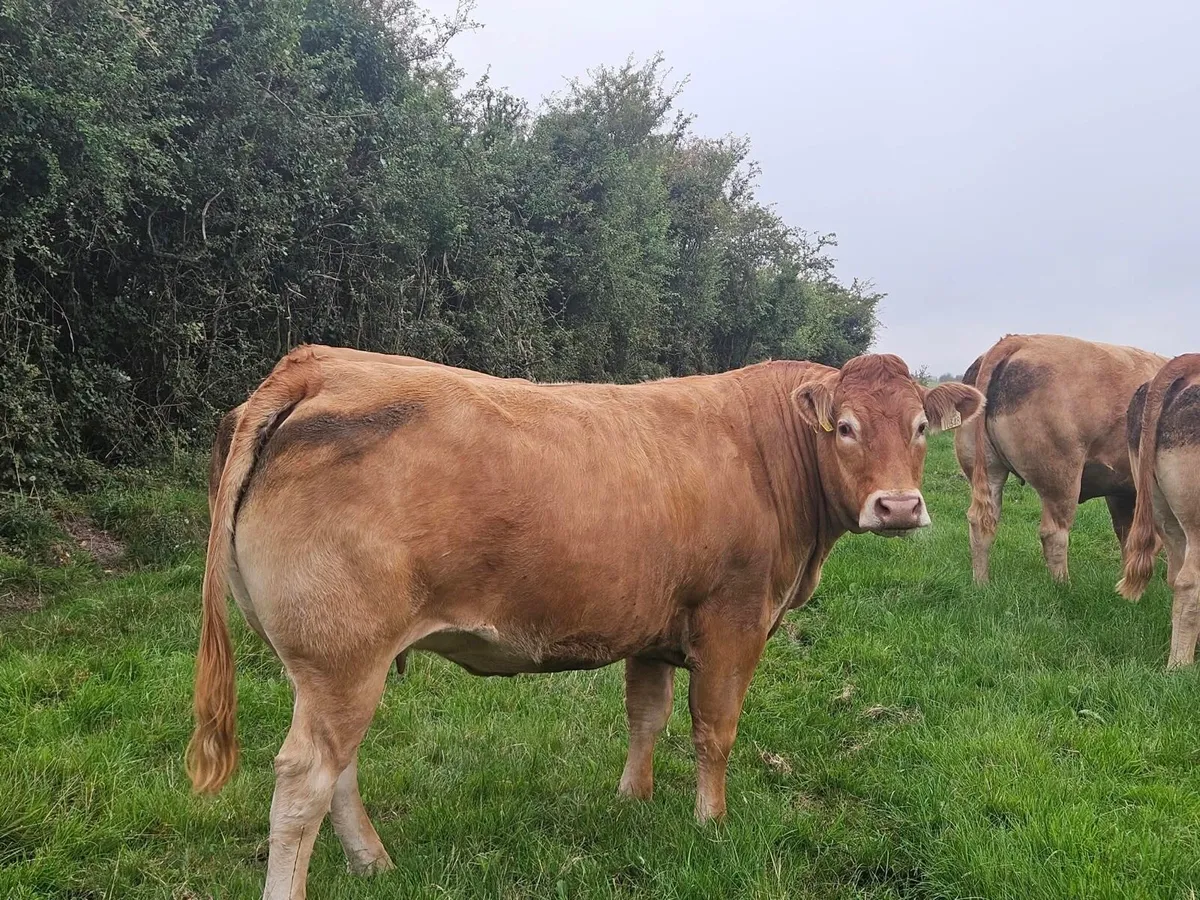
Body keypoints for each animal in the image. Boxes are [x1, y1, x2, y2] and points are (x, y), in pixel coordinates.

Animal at [189, 344, 983, 900]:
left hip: (335, 662)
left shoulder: (657, 628)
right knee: (304, 781)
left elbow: (647, 715)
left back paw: (375, 863)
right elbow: (714, 729)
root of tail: (315, 366)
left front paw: (633, 802)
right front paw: (711, 824)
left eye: (921, 427)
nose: (899, 507)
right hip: (344, 653)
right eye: (845, 427)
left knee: (340, 769)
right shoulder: (733, 621)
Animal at [957, 334, 1166, 584]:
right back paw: (1064, 585)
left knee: (981, 521)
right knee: (1054, 532)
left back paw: (982, 584)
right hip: (1061, 476)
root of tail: (1017, 340)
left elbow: (1126, 534)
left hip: (986, 468)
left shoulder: (1120, 489)